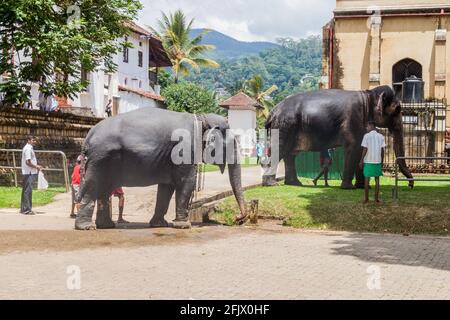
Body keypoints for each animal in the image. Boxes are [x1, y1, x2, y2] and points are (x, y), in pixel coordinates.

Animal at [75, 107, 248, 230]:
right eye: (232, 144)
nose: (238, 219)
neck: (201, 118)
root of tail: (88, 136)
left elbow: (166, 187)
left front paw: (160, 225)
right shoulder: (184, 150)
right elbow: (187, 182)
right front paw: (184, 225)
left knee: (104, 190)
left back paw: (106, 226)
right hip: (100, 159)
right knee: (93, 186)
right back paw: (87, 227)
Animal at [264, 85, 414, 190]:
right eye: (398, 109)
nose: (410, 185)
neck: (368, 94)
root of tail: (272, 111)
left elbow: (361, 149)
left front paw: (361, 187)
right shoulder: (353, 118)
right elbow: (353, 148)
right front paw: (349, 188)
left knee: (290, 155)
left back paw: (295, 184)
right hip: (284, 126)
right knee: (279, 150)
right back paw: (272, 184)